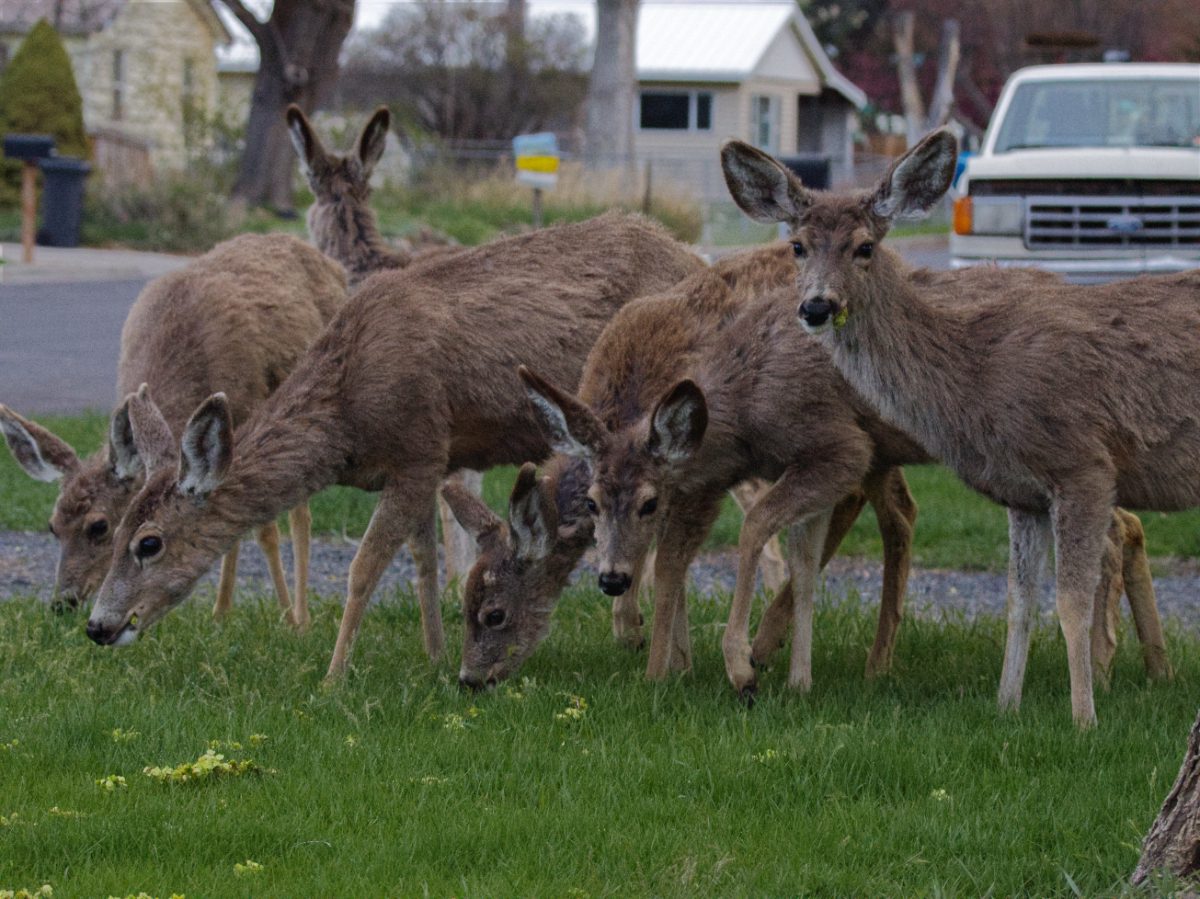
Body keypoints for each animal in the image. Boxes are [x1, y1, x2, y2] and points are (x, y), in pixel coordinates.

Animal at [0, 234, 347, 628]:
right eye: (52, 526)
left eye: (99, 526)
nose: (63, 601)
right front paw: (220, 615)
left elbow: (264, 528)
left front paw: (289, 622)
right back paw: (225, 610)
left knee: (300, 515)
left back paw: (301, 615)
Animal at [83, 213, 704, 675]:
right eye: (113, 530)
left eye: (148, 543)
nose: (97, 625)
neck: (346, 417)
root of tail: (695, 260)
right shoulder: (425, 462)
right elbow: (424, 560)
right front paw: (434, 656)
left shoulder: (419, 446)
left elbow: (365, 567)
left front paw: (333, 676)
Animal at [721, 129, 1188, 725]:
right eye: (797, 246)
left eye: (864, 247)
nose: (817, 306)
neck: (978, 371)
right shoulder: (1023, 490)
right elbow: (1019, 601)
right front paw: (1007, 707)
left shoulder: (1083, 463)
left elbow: (1069, 601)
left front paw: (1084, 720)